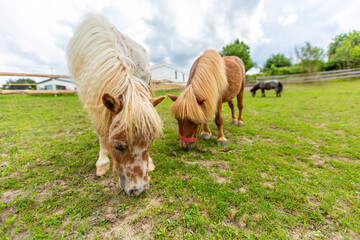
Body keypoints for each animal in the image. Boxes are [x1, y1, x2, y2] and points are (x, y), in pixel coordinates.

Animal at [66, 14, 165, 196]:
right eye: (118, 147)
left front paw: (149, 161)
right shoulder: (91, 98)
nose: (139, 189)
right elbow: (101, 130)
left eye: (151, 141)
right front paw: (102, 163)